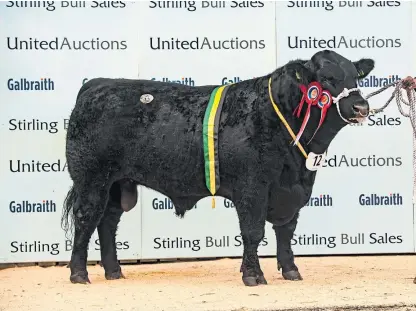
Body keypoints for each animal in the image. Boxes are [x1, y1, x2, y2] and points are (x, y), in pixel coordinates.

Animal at [63, 50, 376, 286]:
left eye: (355, 76)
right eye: (326, 78)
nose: (361, 107)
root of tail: (97, 85)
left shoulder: (294, 189)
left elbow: (286, 230)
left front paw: (291, 271)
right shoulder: (252, 187)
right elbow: (253, 232)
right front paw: (253, 275)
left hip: (118, 183)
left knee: (107, 221)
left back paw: (114, 271)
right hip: (91, 179)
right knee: (86, 217)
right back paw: (79, 274)